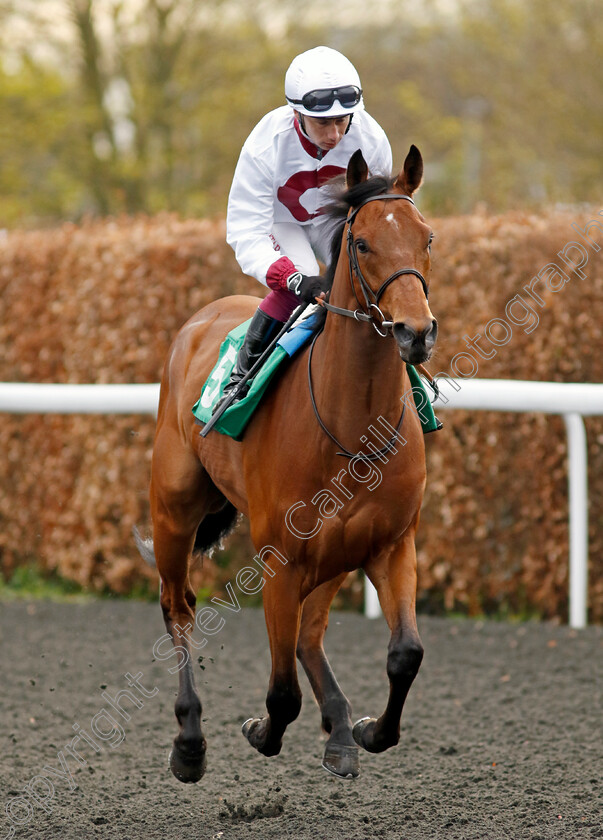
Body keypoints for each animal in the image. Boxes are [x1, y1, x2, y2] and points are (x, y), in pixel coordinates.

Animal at [140, 144, 436, 780]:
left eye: (428, 237)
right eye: (363, 244)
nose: (416, 332)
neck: (352, 425)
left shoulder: (390, 543)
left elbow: (405, 654)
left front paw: (369, 730)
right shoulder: (280, 559)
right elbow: (280, 693)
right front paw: (260, 731)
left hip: (336, 551)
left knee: (310, 634)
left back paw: (342, 730)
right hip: (173, 509)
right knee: (178, 606)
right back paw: (190, 740)